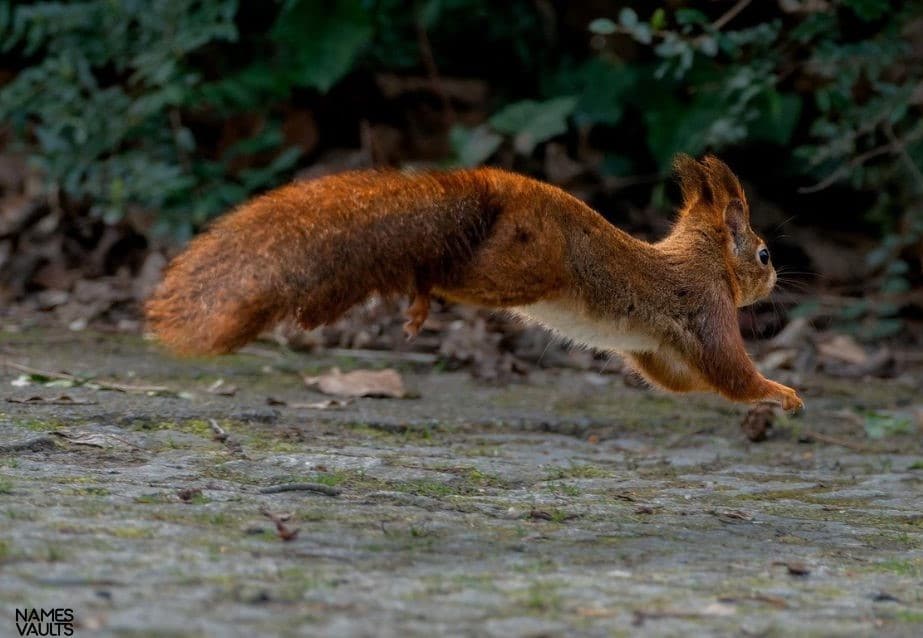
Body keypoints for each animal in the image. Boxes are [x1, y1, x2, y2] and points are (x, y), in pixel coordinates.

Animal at [144, 157, 800, 412]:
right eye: (764, 254)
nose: (775, 280)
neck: (702, 259)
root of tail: (491, 186)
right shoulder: (709, 308)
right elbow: (731, 372)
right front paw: (780, 393)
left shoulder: (651, 346)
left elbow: (678, 379)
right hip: (523, 268)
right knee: (450, 274)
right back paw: (419, 296)